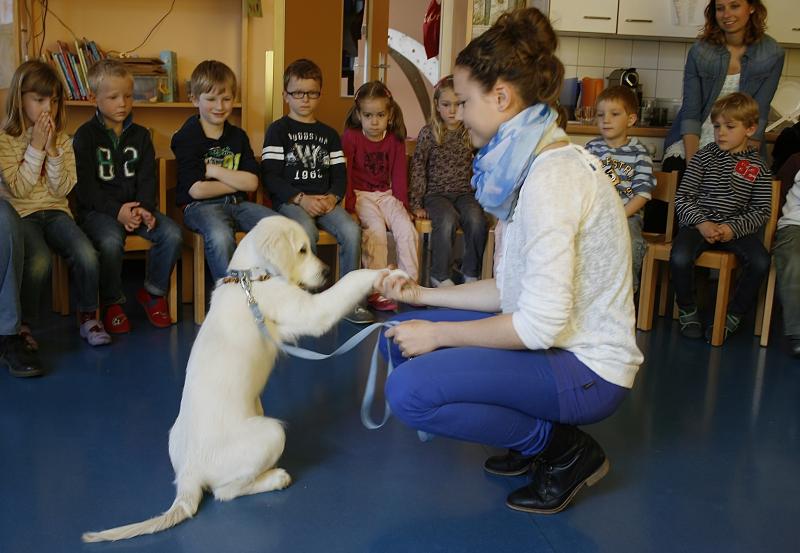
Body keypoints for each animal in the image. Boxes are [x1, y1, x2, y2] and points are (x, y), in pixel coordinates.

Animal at [83, 216, 396, 540]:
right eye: (302, 250)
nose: (324, 271)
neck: (253, 278)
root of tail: (189, 475)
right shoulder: (307, 310)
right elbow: (347, 285)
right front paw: (384, 274)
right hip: (272, 433)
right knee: (225, 492)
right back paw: (275, 478)